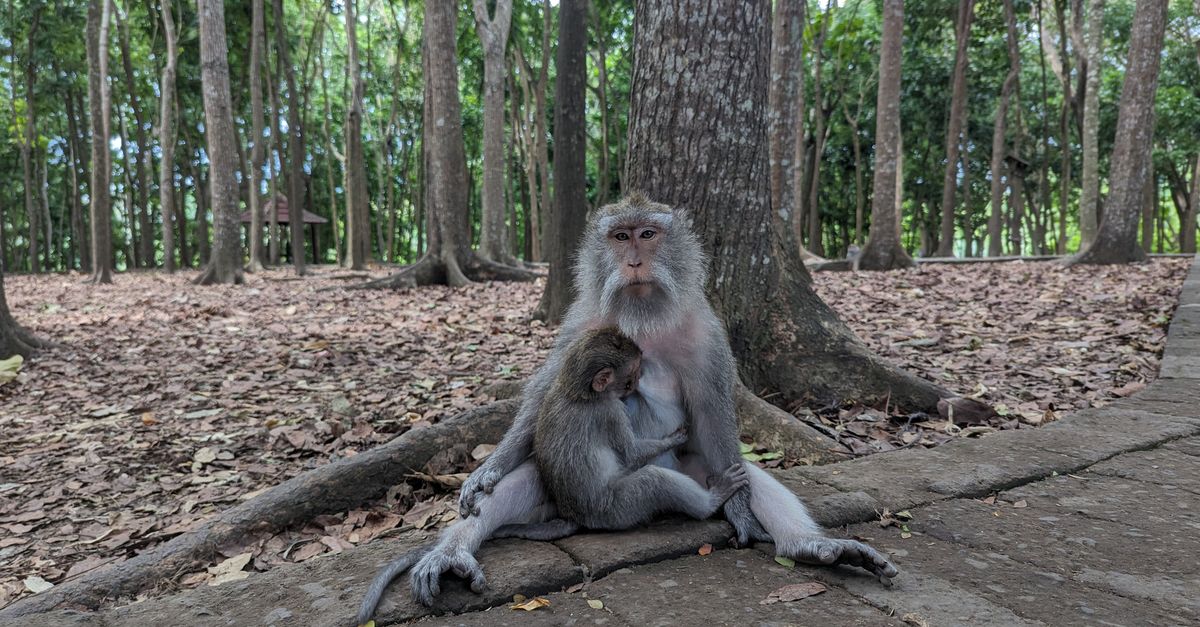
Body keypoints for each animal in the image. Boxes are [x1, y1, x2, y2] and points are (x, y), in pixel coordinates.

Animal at [400, 193, 896, 608]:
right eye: (621, 237)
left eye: (648, 234)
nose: (635, 261)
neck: (643, 316)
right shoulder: (582, 321)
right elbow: (546, 397)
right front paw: (490, 467)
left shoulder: (706, 331)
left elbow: (714, 412)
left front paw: (742, 513)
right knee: (516, 484)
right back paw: (453, 552)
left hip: (693, 468)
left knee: (742, 474)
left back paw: (810, 545)